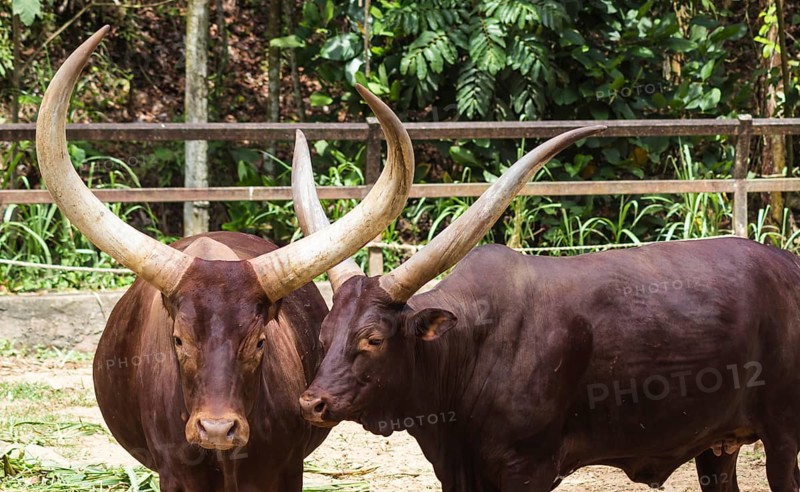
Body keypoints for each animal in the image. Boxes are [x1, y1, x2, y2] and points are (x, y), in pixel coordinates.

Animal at [293, 123, 800, 492]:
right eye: (324, 335)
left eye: (373, 339)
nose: (311, 402)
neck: (470, 348)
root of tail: (787, 263)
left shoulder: (528, 468)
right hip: (717, 445)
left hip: (782, 434)